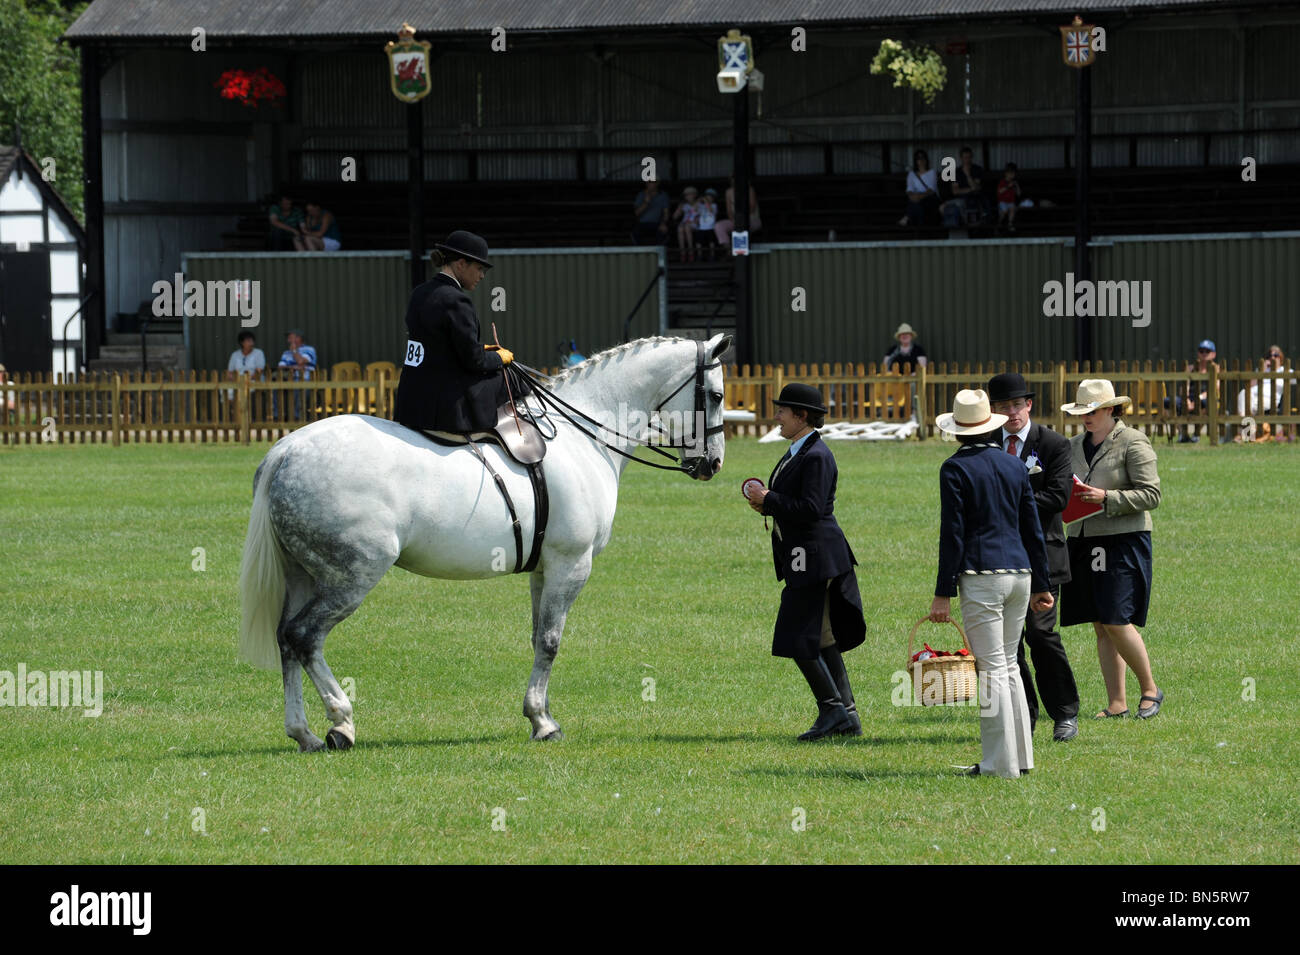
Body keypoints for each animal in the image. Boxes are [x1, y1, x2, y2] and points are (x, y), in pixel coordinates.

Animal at [239, 335, 728, 753]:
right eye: (717, 396)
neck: (583, 436)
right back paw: (341, 722)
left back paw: (303, 733)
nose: (713, 464)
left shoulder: (544, 568)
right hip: (353, 576)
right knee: (305, 636)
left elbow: (537, 637)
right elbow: (551, 641)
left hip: (304, 574)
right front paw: (543, 723)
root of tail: (286, 450)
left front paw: (538, 714)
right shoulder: (571, 564)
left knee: (286, 640)